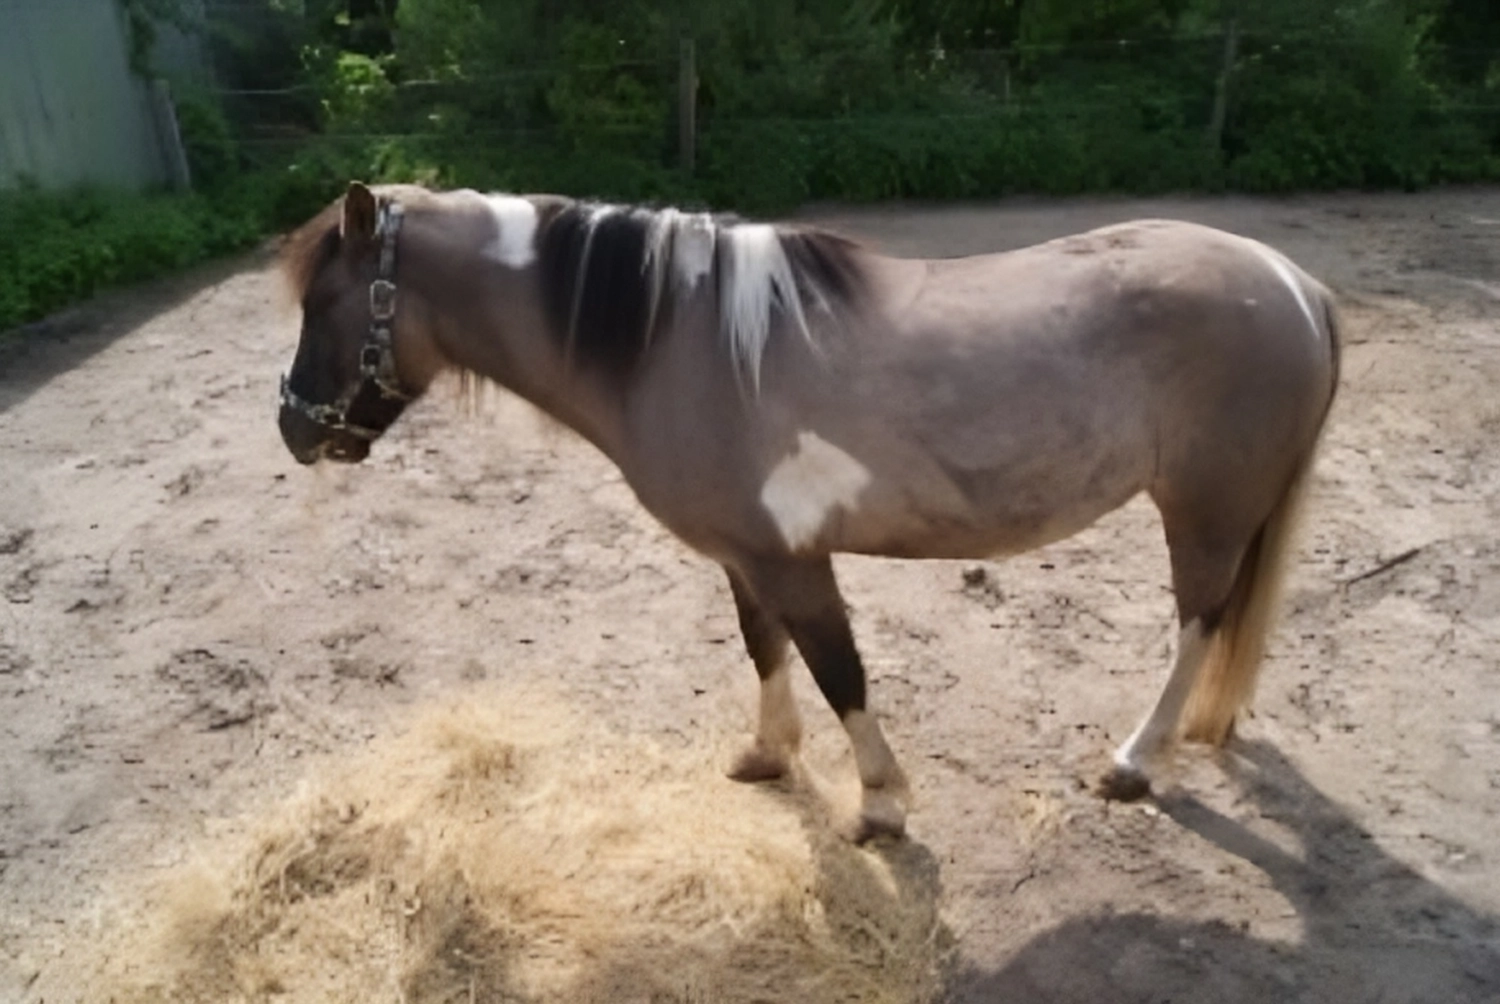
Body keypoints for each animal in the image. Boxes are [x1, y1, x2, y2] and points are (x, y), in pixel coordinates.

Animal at [276, 183, 1344, 840]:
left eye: (324, 303)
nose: (293, 426)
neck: (679, 343)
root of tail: (1294, 284)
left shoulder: (796, 562)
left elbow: (842, 675)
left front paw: (880, 807)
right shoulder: (746, 557)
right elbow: (766, 651)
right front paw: (767, 755)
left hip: (1203, 513)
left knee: (1198, 623)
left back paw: (1135, 760)